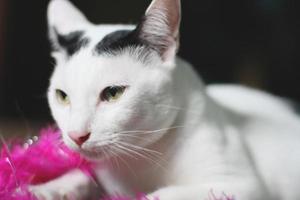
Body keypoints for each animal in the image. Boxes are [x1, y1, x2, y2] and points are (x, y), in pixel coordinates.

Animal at [29, 0, 300, 199]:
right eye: (62, 96)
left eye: (113, 93)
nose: (77, 135)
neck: (138, 160)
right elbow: (83, 177)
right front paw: (45, 189)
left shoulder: (241, 185)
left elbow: (162, 196)